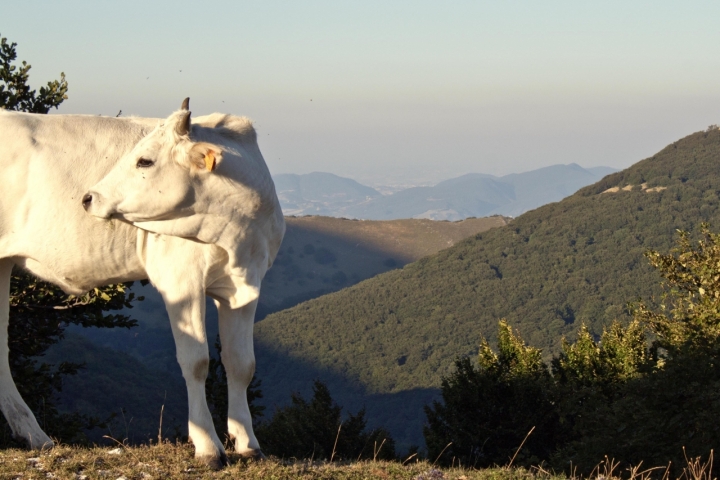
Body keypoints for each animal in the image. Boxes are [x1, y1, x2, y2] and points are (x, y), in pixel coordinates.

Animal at [0, 98, 286, 468]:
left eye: (144, 160)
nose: (88, 198)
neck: (238, 236)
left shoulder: (246, 286)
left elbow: (241, 364)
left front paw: (248, 443)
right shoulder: (180, 277)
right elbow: (196, 361)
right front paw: (208, 446)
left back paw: (34, 435)